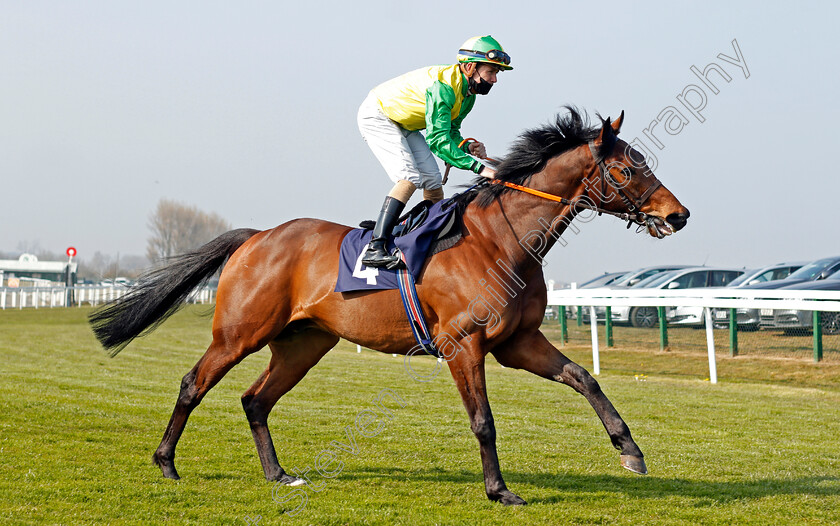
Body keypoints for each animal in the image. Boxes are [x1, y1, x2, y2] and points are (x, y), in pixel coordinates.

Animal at [88, 107, 688, 508]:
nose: (678, 215)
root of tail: (256, 236)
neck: (501, 240)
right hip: (239, 333)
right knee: (195, 382)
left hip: (304, 343)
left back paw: (278, 474)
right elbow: (484, 420)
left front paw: (630, 450)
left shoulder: (518, 343)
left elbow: (584, 378)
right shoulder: (463, 344)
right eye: (627, 170)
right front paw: (499, 490)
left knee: (256, 400)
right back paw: (166, 463)